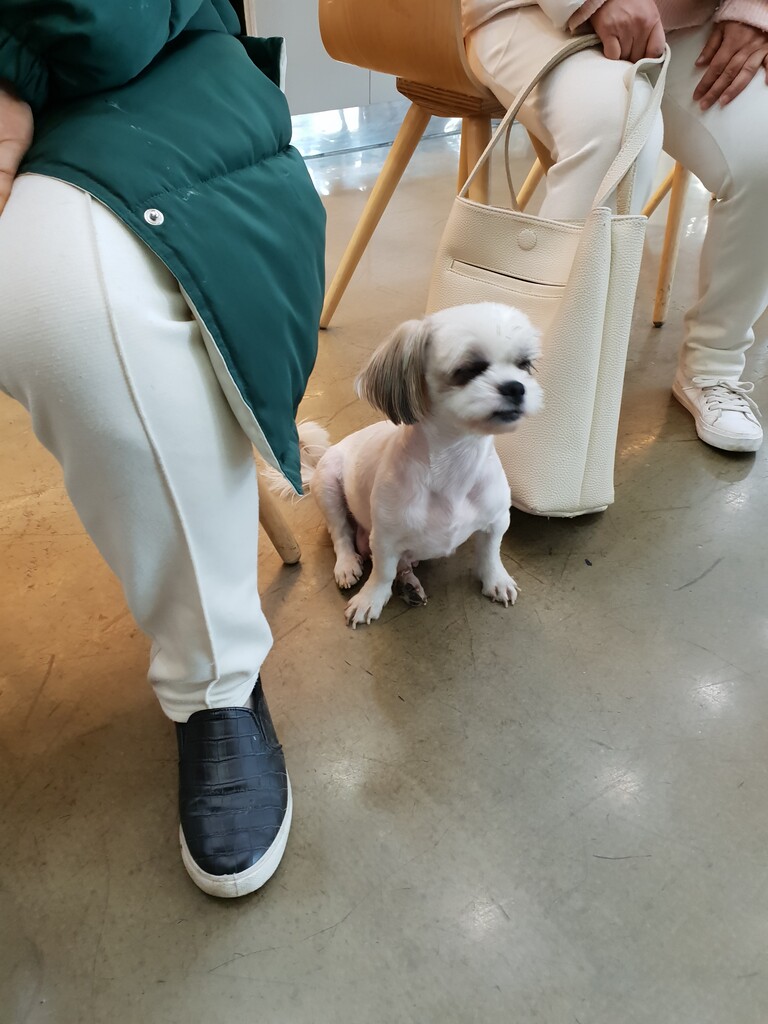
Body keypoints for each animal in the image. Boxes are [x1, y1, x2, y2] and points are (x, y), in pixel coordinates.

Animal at [295, 302, 542, 627]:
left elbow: (490, 553)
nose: (516, 387)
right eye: (468, 369)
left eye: (524, 365)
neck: (455, 462)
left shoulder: (498, 520)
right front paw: (371, 598)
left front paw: (496, 579)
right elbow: (382, 572)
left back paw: (409, 583)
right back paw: (347, 564)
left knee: (401, 561)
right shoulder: (384, 538)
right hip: (327, 487)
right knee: (341, 533)